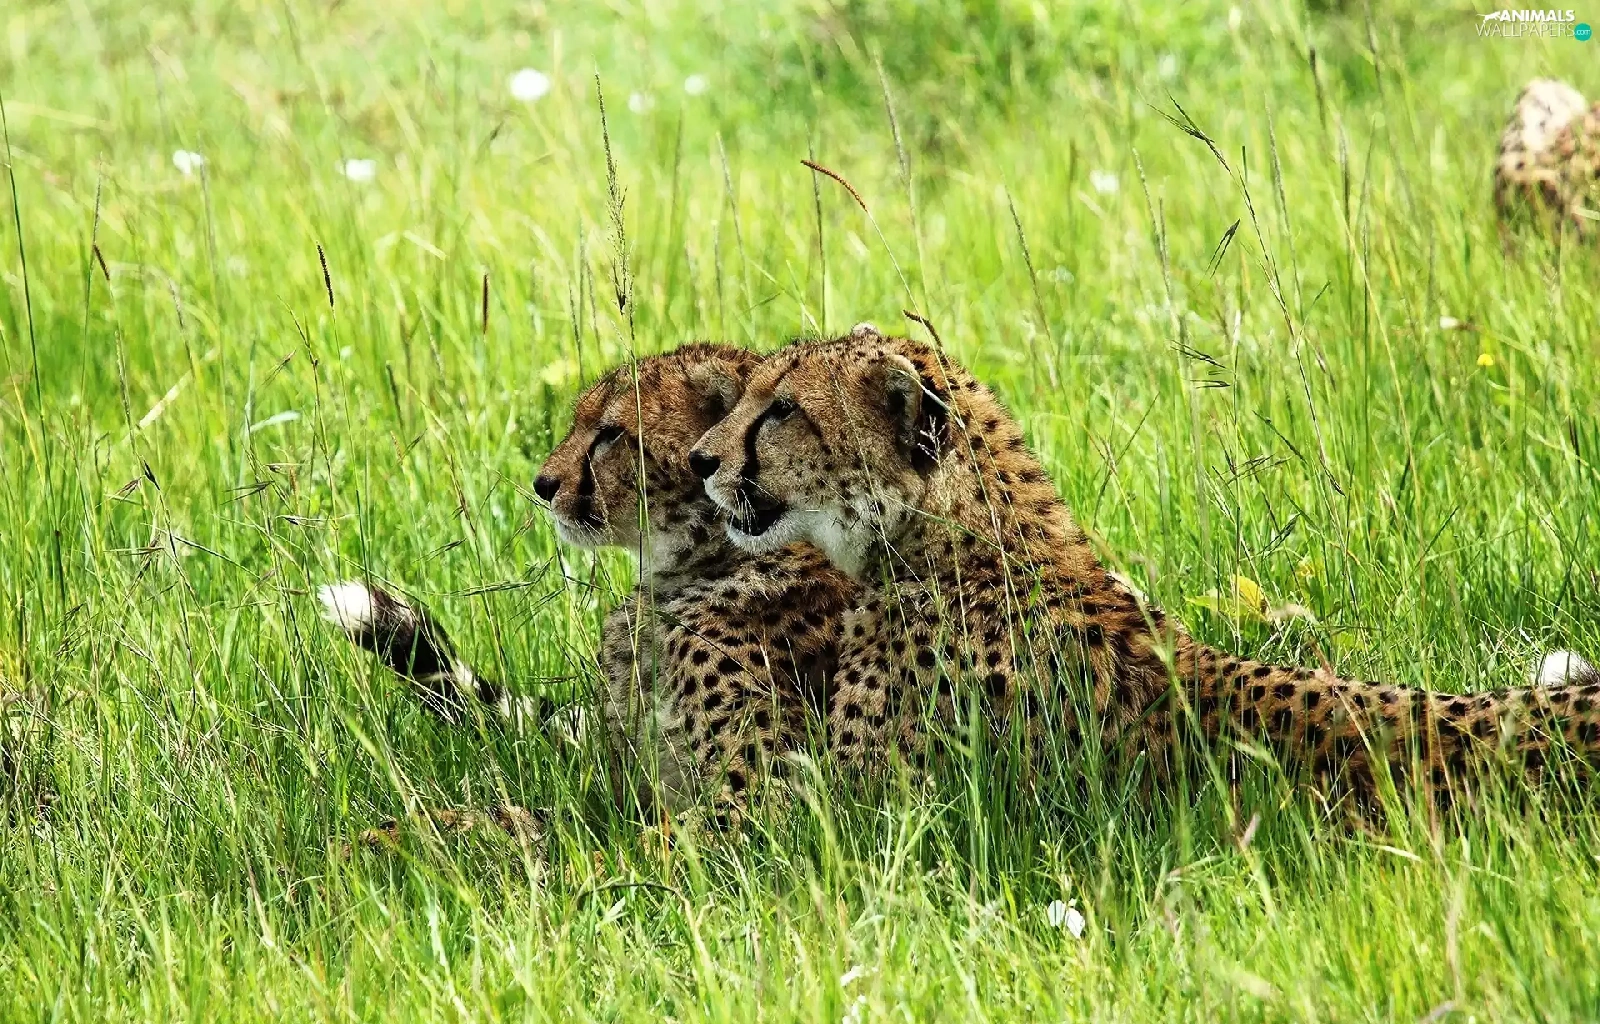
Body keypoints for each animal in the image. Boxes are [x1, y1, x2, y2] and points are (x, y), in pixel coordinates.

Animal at [321, 343, 858, 841]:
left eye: (611, 433)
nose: (542, 484)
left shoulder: (772, 800)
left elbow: (610, 843)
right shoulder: (626, 793)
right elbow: (555, 817)